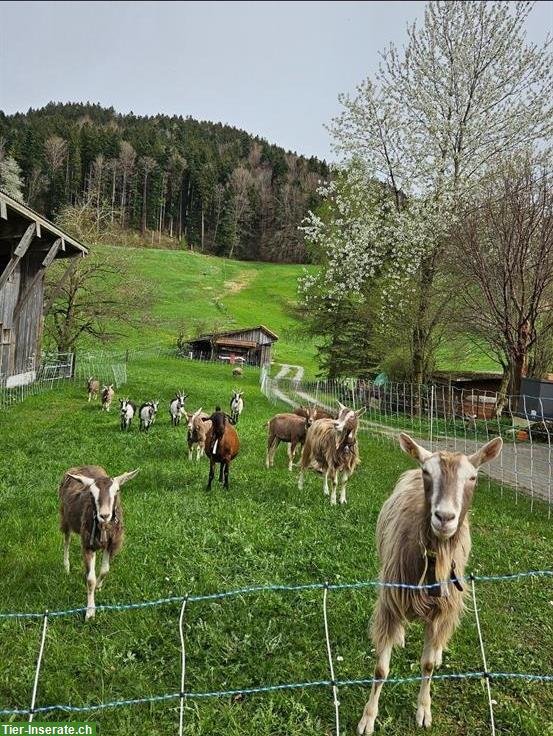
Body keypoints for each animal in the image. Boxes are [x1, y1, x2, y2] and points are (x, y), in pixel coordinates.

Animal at [58, 468, 139, 620]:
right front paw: (90, 612)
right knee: (67, 540)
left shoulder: (111, 544)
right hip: (65, 517)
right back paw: (66, 567)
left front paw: (99, 587)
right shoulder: (88, 545)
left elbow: (105, 570)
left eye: (117, 490)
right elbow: (90, 579)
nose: (104, 515)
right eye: (91, 493)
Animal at [356, 434, 502, 732]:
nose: (444, 517)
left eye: (473, 477)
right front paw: (368, 717)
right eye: (427, 472)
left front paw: (423, 710)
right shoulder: (391, 600)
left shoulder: (442, 608)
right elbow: (381, 669)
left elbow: (427, 666)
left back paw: (439, 650)